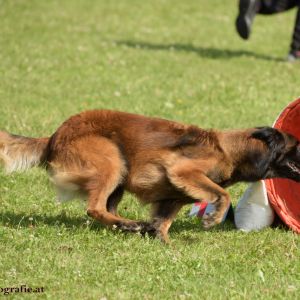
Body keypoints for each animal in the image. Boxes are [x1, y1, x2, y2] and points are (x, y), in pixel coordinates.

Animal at [0, 110, 300, 241]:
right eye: (296, 146)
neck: (230, 150)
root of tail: (54, 136)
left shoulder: (173, 197)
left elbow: (163, 222)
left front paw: (161, 240)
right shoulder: (182, 170)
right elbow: (222, 193)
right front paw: (213, 218)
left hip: (118, 176)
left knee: (106, 208)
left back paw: (129, 225)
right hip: (112, 159)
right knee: (94, 208)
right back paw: (130, 224)